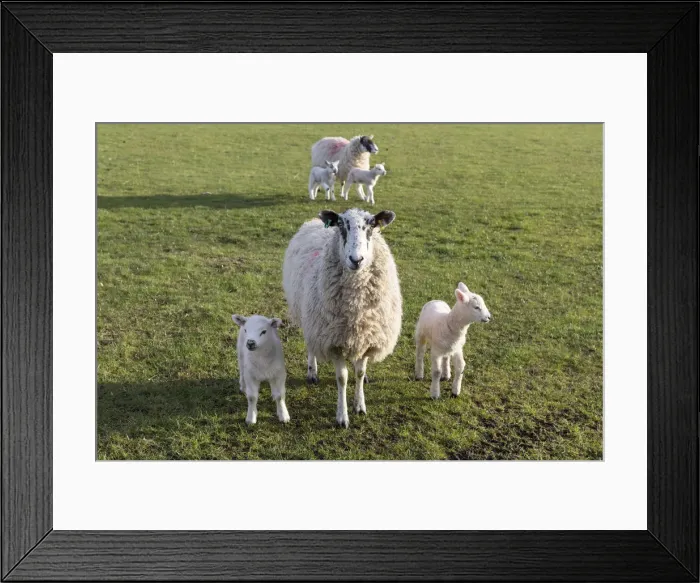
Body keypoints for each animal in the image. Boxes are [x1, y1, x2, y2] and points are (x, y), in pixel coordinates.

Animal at [282, 207, 402, 427]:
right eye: (341, 225)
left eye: (372, 226)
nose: (356, 260)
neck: (356, 309)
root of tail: (313, 221)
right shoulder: (334, 342)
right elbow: (342, 379)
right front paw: (342, 416)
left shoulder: (367, 337)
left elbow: (359, 373)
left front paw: (360, 405)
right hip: (310, 319)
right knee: (311, 346)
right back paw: (312, 372)